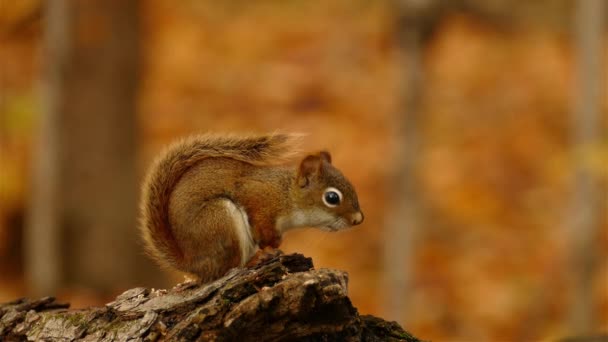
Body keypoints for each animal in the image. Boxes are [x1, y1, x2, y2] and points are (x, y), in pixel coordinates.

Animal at [140, 132, 364, 282]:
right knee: (227, 268)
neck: (286, 195)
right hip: (219, 220)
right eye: (332, 197)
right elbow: (260, 224)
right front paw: (273, 242)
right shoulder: (258, 198)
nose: (358, 219)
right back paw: (254, 260)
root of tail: (193, 263)